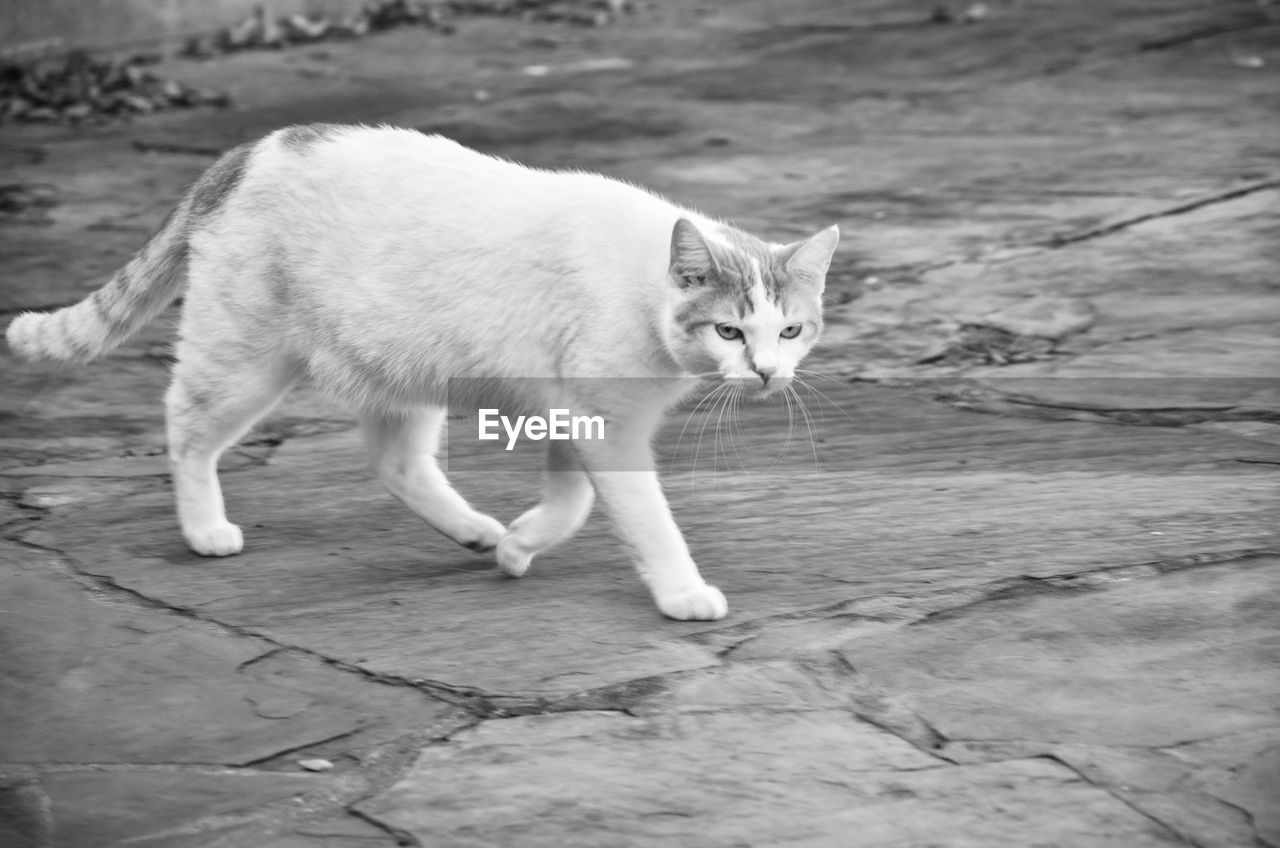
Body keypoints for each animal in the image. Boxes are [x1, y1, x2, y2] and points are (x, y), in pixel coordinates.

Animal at [7, 122, 839, 622]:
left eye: (790, 330)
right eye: (730, 330)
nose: (768, 373)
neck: (641, 285)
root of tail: (248, 152)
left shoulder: (572, 416)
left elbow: (568, 501)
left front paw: (518, 545)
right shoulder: (605, 425)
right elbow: (647, 519)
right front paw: (681, 591)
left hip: (399, 367)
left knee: (394, 463)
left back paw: (473, 531)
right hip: (245, 358)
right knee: (184, 427)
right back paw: (205, 527)